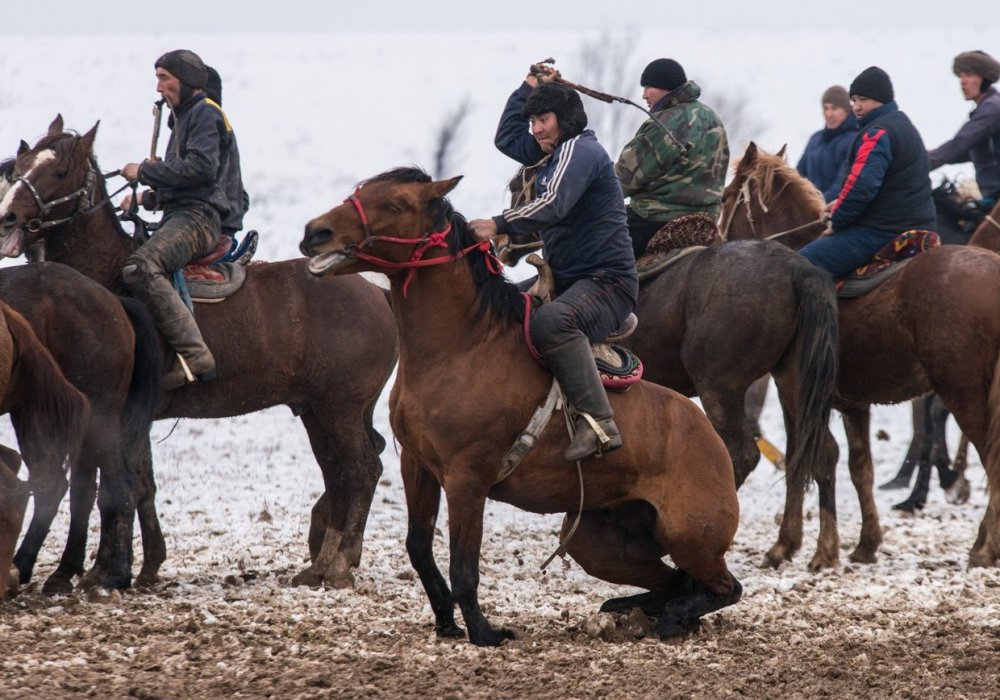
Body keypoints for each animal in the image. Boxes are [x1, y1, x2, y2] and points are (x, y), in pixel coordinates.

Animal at [296, 167, 744, 648]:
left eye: (395, 204)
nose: (315, 232)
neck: (461, 348)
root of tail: (710, 438)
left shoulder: (466, 479)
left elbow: (464, 564)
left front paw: (484, 632)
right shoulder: (418, 466)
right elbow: (419, 549)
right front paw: (446, 622)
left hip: (690, 534)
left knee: (724, 587)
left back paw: (669, 617)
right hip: (598, 541)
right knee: (676, 580)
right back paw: (633, 610)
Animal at [720, 145, 1000, 568]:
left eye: (725, 198)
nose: (715, 240)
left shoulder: (795, 391)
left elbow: (806, 456)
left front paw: (795, 546)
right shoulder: (852, 403)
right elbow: (858, 466)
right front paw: (865, 543)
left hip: (963, 391)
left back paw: (985, 545)